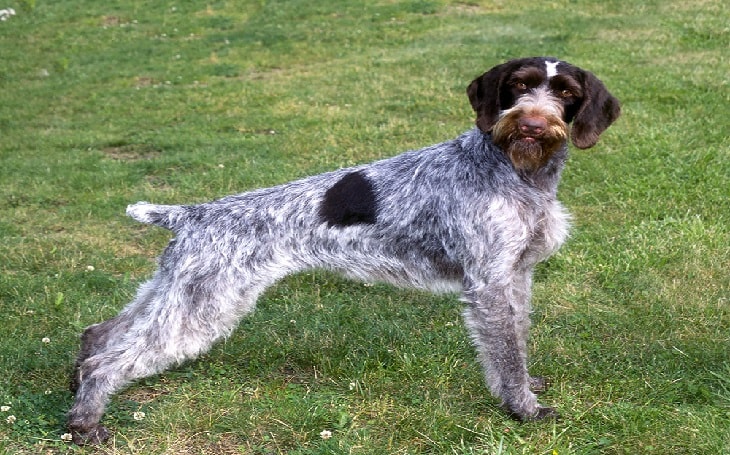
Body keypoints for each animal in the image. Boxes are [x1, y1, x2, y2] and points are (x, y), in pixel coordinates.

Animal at [65, 57, 616, 446]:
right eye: (519, 86)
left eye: (565, 93)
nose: (532, 124)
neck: (515, 170)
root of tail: (192, 214)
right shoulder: (490, 283)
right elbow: (505, 351)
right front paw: (523, 410)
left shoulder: (516, 275)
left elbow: (516, 341)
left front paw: (524, 390)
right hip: (203, 306)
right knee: (109, 361)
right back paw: (86, 425)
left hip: (173, 291)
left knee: (99, 333)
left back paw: (75, 395)